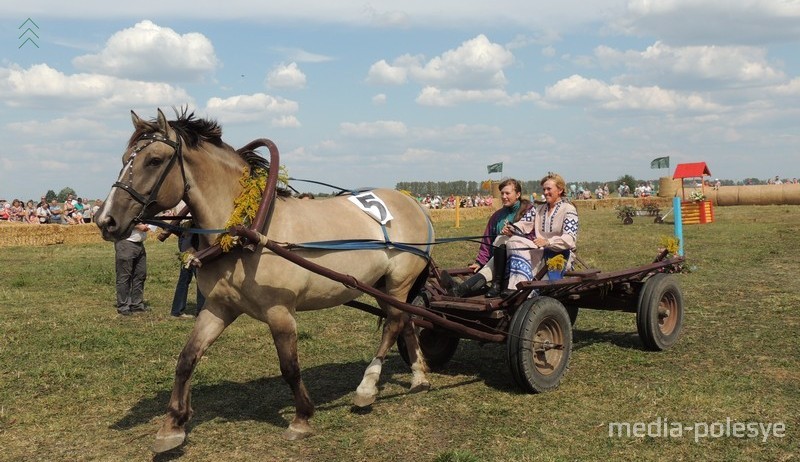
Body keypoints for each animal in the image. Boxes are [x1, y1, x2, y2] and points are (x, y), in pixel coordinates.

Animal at [96, 107, 434, 452]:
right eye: (124, 158)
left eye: (153, 160)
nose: (105, 220)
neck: (247, 230)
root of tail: (412, 201)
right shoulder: (218, 307)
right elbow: (187, 358)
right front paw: (172, 425)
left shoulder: (280, 311)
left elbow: (290, 366)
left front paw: (302, 417)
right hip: (382, 285)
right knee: (406, 320)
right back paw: (419, 376)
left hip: (399, 281)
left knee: (393, 324)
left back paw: (367, 387)